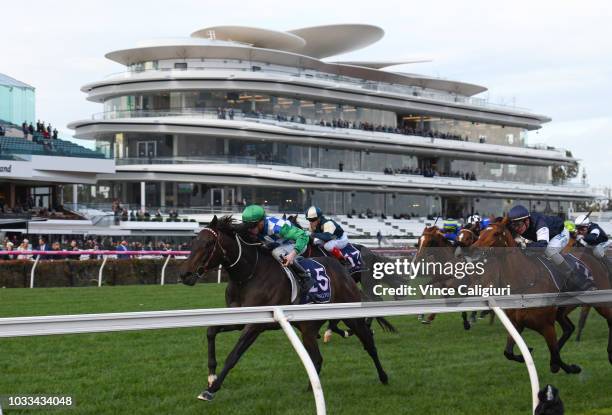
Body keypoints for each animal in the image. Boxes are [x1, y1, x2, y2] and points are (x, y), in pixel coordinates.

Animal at [178, 216, 388, 402]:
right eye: (193, 242)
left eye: (208, 243)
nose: (184, 274)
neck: (249, 275)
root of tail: (342, 270)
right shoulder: (239, 319)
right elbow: (210, 331)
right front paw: (211, 375)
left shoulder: (255, 325)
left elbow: (234, 355)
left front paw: (211, 390)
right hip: (307, 326)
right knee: (317, 358)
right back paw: (310, 388)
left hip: (351, 315)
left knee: (368, 343)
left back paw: (383, 376)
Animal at [474, 218, 584, 374]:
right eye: (481, 232)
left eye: (496, 233)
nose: (472, 249)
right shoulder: (516, 323)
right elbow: (508, 352)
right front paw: (526, 354)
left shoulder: (547, 326)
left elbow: (555, 356)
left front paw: (570, 367)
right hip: (561, 312)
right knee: (569, 328)